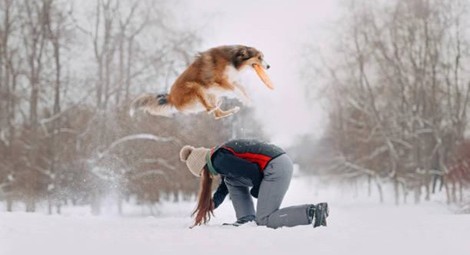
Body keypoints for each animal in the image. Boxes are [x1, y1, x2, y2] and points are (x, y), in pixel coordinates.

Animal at [130, 44, 274, 119]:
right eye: (259, 57)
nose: (268, 67)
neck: (233, 59)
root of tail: (171, 98)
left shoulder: (233, 80)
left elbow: (243, 90)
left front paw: (249, 101)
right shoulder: (220, 81)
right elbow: (236, 91)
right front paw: (245, 100)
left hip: (210, 94)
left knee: (216, 114)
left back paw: (231, 109)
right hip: (195, 87)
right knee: (210, 110)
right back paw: (216, 106)